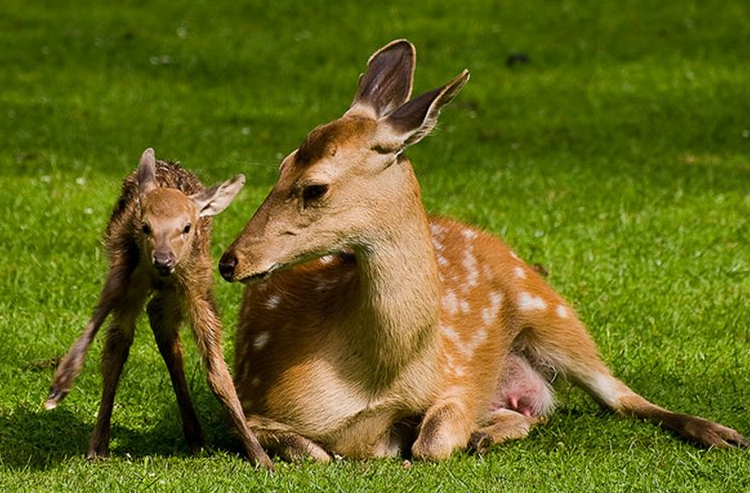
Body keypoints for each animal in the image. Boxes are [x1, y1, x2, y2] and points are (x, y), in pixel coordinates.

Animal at [220, 40, 748, 460]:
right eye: (283, 165)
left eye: (315, 188)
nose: (230, 260)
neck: (368, 380)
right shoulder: (254, 404)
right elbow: (315, 451)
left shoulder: (453, 378)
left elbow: (433, 440)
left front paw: (452, 434)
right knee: (546, 409)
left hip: (552, 310)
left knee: (621, 396)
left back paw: (722, 434)